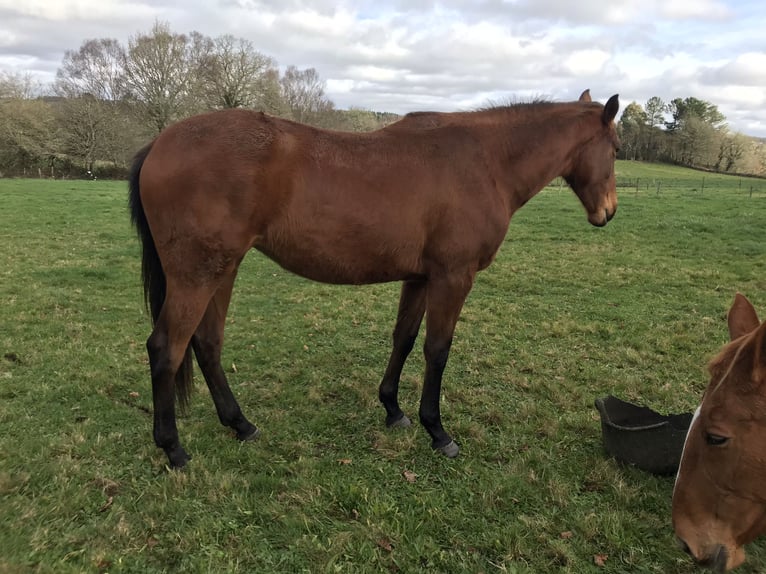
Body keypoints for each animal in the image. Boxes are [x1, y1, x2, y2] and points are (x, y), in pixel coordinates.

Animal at [129, 89, 620, 468]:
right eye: (616, 148)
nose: (608, 212)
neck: (485, 162)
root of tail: (160, 143)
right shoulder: (453, 278)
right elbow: (437, 351)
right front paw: (437, 431)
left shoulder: (420, 279)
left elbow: (403, 339)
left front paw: (393, 409)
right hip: (197, 275)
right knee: (166, 349)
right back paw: (173, 449)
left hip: (222, 269)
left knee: (207, 343)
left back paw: (241, 424)